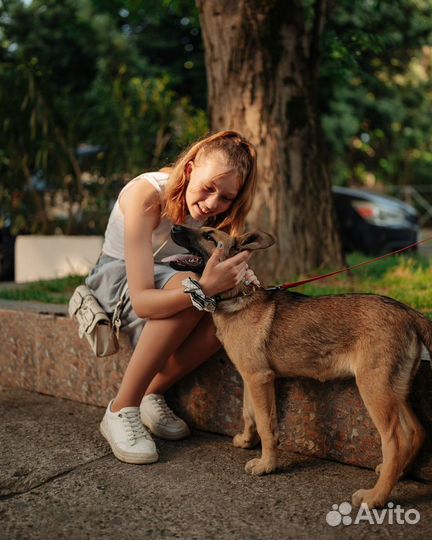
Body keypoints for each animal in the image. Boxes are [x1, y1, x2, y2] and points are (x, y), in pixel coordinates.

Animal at [170, 225, 430, 510]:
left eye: (209, 236)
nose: (173, 227)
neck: (237, 297)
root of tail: (409, 312)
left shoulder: (259, 378)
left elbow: (266, 425)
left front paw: (267, 465)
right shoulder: (250, 376)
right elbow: (248, 413)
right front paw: (247, 441)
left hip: (374, 389)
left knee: (396, 441)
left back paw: (376, 496)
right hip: (395, 390)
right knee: (416, 432)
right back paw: (397, 474)